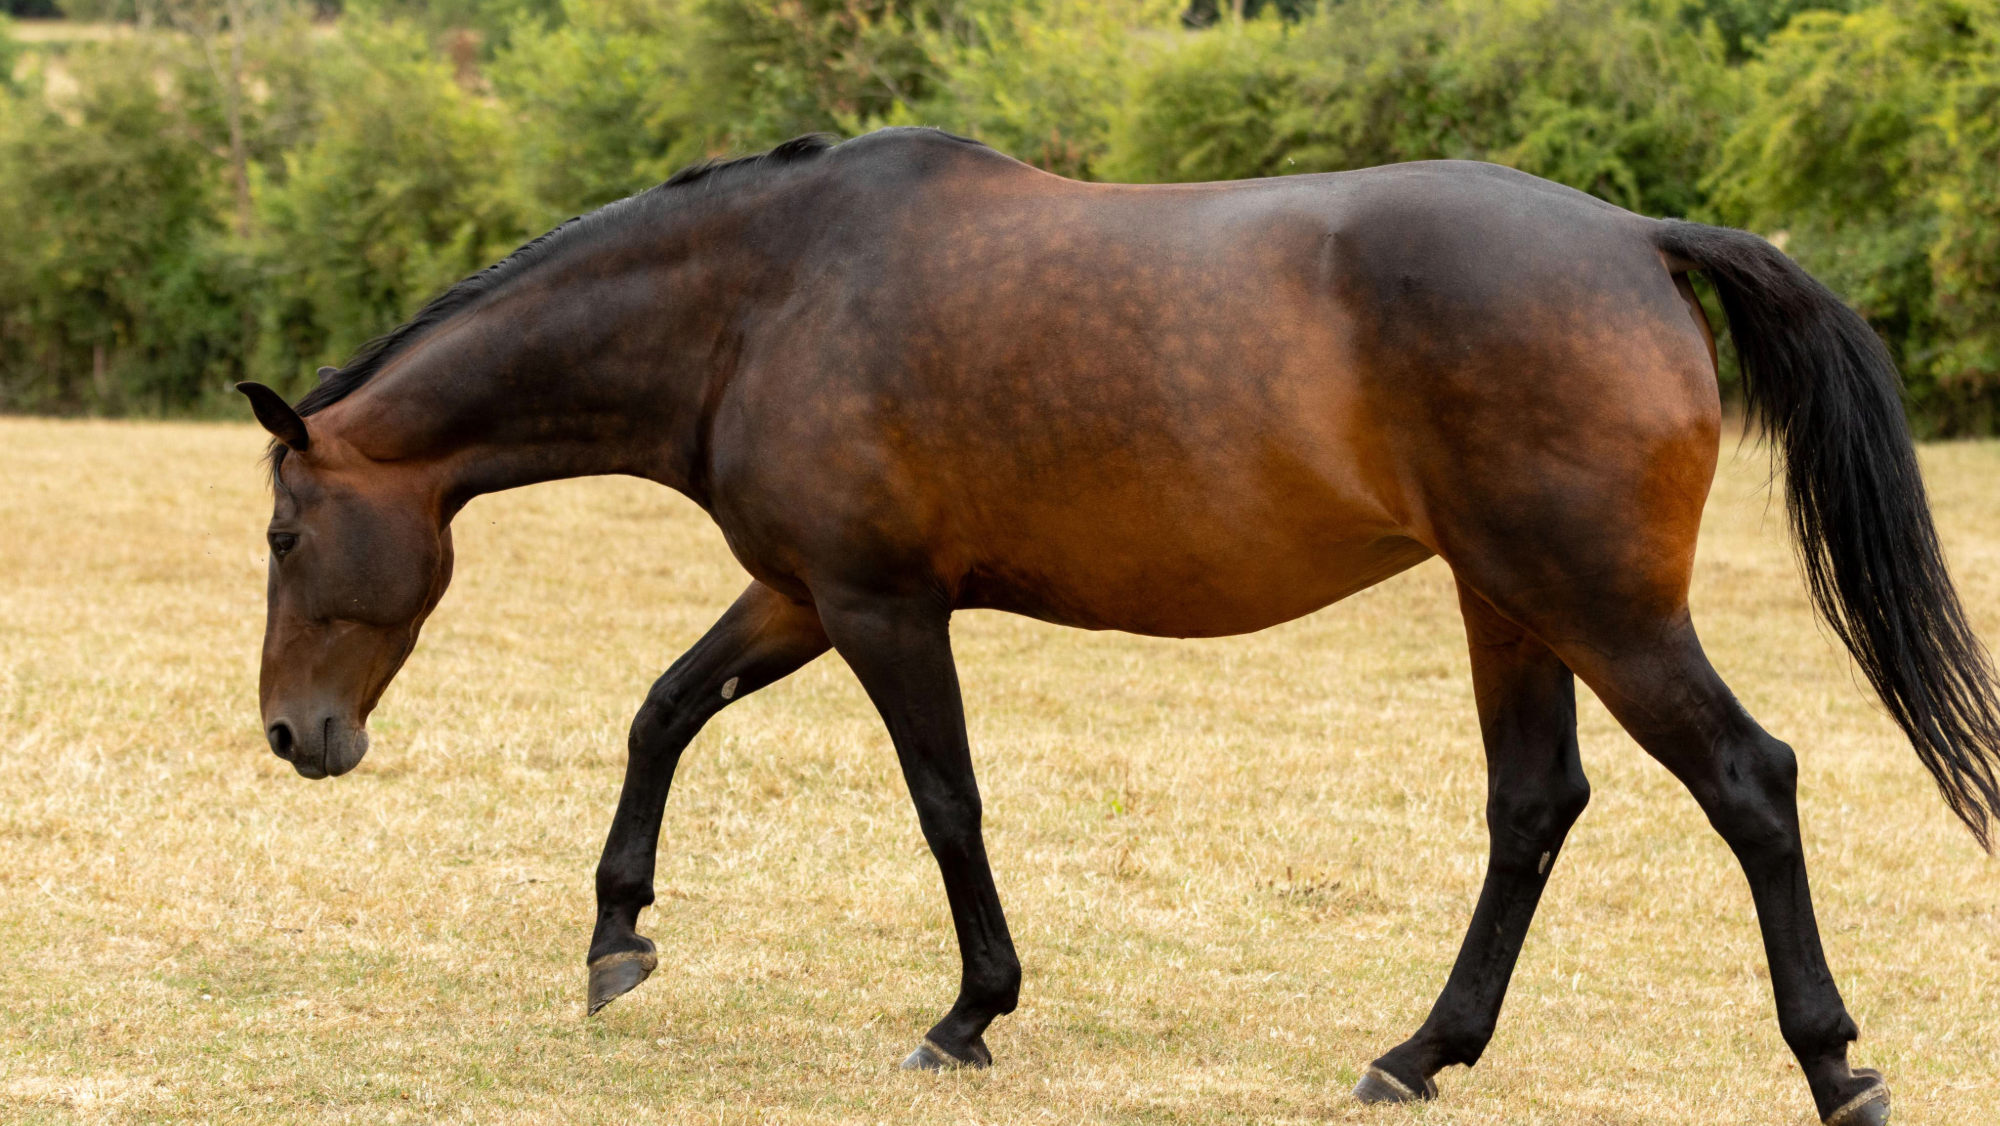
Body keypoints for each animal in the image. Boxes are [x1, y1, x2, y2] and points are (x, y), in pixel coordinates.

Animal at [238, 127, 2000, 1125]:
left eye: (280, 532)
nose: (294, 734)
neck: (762, 295)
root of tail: (1638, 240)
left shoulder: (880, 605)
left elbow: (945, 802)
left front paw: (969, 1015)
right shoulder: (800, 590)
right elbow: (664, 708)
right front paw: (618, 936)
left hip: (1596, 605)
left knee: (1750, 780)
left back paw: (1836, 1065)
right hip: (1506, 602)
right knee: (1534, 807)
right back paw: (1419, 1052)